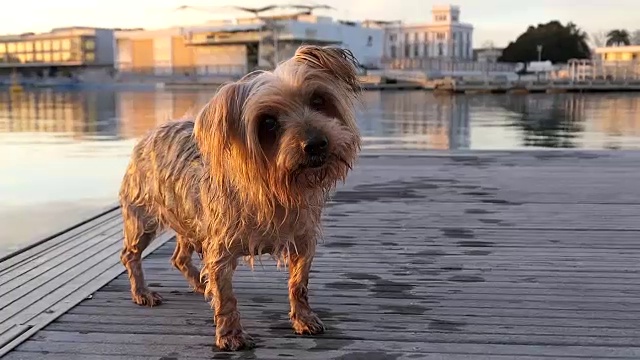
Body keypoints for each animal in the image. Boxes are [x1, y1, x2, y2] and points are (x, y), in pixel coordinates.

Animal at [117, 45, 362, 352]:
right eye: (268, 123)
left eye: (319, 100)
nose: (316, 144)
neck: (275, 188)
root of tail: (154, 130)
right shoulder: (220, 247)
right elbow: (226, 296)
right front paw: (230, 334)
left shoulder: (303, 240)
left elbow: (299, 283)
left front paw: (304, 318)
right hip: (144, 217)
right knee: (131, 254)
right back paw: (142, 292)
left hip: (188, 218)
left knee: (179, 257)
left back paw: (199, 283)